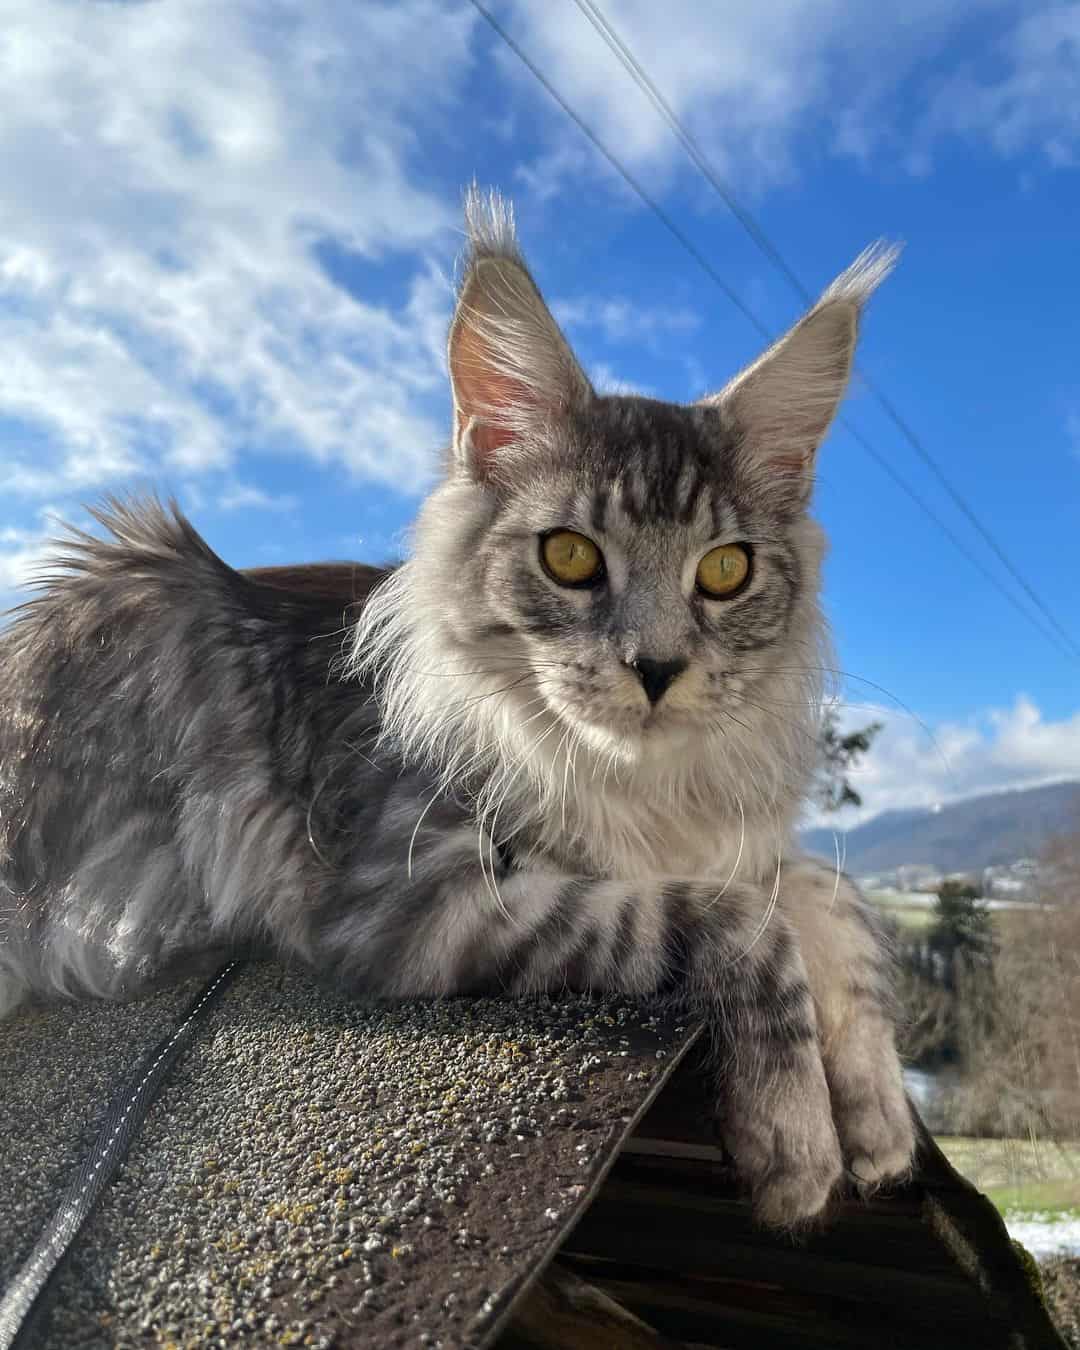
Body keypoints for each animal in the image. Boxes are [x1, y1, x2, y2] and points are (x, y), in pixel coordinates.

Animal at [0, 195, 912, 1231]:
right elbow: (733, 922)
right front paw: (797, 1142)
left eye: (725, 571)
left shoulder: (732, 843)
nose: (656, 669)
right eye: (570, 557)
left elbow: (834, 899)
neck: (641, 788)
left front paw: (879, 1118)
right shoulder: (417, 902)